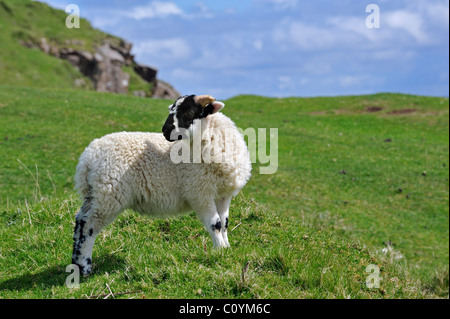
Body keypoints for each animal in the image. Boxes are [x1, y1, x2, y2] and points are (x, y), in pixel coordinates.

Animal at [72, 94, 251, 276]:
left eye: (188, 112)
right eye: (171, 110)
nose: (165, 130)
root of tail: (88, 157)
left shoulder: (223, 195)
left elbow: (224, 224)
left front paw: (226, 249)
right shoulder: (199, 193)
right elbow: (215, 224)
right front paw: (220, 251)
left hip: (95, 193)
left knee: (80, 220)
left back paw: (76, 262)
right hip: (108, 194)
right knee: (89, 225)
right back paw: (85, 266)